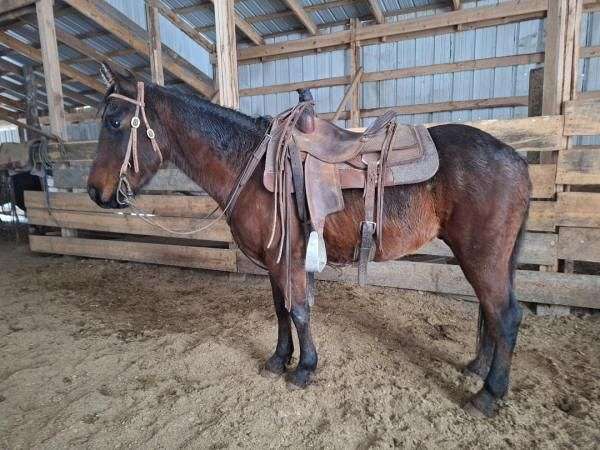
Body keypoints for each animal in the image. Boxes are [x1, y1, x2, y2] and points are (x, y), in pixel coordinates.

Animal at [88, 66, 528, 418]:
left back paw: (488, 394)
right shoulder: (273, 261)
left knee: (505, 315)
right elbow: (281, 311)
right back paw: (477, 367)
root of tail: (516, 158)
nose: (94, 192)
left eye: (114, 122)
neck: (250, 165)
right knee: (491, 313)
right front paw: (278, 359)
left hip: (481, 257)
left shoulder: (287, 258)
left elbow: (298, 310)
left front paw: (304, 368)